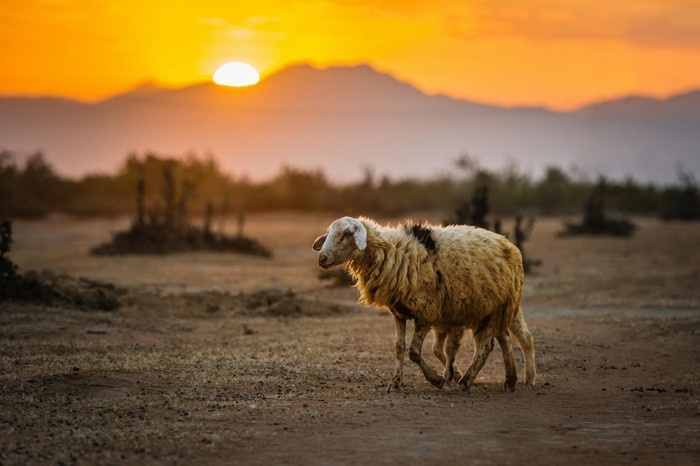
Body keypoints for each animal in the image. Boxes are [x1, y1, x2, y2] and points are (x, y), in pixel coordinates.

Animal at [312, 217, 536, 392]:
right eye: (328, 233)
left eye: (347, 233)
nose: (322, 258)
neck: (392, 253)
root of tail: (509, 243)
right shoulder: (399, 313)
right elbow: (399, 348)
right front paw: (395, 383)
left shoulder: (426, 312)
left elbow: (414, 352)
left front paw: (437, 379)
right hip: (488, 309)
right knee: (504, 339)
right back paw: (509, 380)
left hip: (500, 306)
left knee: (497, 343)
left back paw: (472, 381)